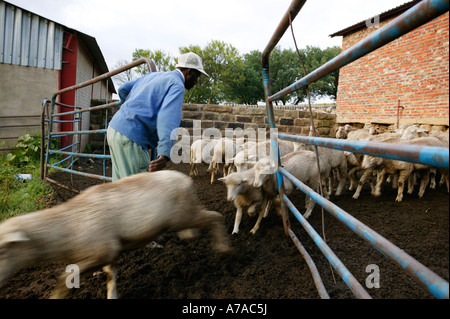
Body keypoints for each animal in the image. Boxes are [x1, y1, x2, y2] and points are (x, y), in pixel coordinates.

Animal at [0, 171, 230, 298]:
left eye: (3, 251)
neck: (67, 226)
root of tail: (186, 179)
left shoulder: (102, 251)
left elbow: (65, 278)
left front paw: (55, 297)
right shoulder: (110, 252)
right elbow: (111, 275)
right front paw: (112, 295)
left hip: (186, 213)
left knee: (215, 216)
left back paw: (224, 249)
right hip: (183, 216)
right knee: (199, 226)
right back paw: (191, 236)